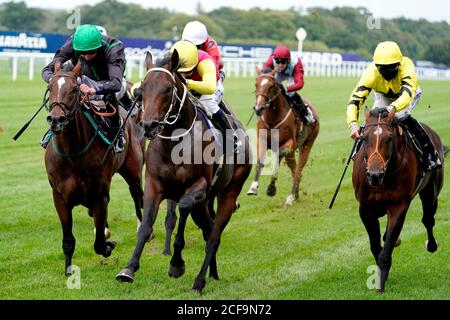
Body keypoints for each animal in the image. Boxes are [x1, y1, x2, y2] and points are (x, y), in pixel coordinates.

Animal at [45, 60, 144, 276]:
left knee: (137, 194)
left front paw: (108, 245)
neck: (73, 153)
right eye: (51, 87)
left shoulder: (99, 195)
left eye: (74, 89)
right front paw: (68, 270)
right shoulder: (59, 197)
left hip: (132, 169)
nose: (56, 119)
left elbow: (99, 244)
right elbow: (68, 240)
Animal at [117, 50, 253, 292]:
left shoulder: (197, 187)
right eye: (142, 88)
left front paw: (176, 264)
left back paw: (199, 281)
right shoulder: (154, 184)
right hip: (205, 204)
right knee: (208, 230)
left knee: (214, 236)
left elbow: (182, 208)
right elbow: (145, 226)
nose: (149, 125)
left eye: (168, 88)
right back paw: (212, 274)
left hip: (229, 192)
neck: (175, 143)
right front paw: (129, 269)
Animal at [246, 68, 320, 206]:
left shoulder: (289, 143)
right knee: (295, 170)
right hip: (291, 154)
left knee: (298, 171)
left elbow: (279, 156)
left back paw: (290, 198)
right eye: (256, 84)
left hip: (307, 144)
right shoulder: (262, 140)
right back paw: (295, 196)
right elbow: (260, 162)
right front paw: (253, 187)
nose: (258, 108)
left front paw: (271, 188)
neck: (273, 117)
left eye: (271, 86)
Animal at [352, 108, 442, 292]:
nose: (375, 174)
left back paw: (431, 245)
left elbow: (385, 250)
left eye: (389, 138)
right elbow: (375, 246)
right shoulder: (365, 208)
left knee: (428, 220)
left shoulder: (398, 205)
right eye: (364, 138)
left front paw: (380, 283)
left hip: (431, 192)